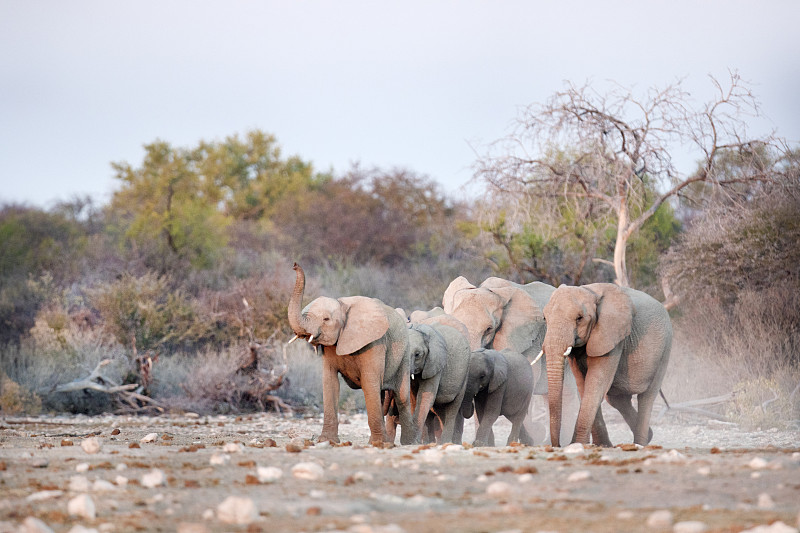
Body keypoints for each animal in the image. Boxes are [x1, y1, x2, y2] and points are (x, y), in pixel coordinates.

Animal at [288, 262, 416, 444]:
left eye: (326, 319)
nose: (294, 265)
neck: (342, 305)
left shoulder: (375, 342)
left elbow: (369, 381)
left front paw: (379, 444)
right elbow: (330, 382)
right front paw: (327, 441)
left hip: (404, 353)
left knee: (401, 397)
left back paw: (409, 443)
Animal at [540, 280, 672, 446]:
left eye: (579, 318)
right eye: (545, 318)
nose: (557, 445)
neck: (589, 291)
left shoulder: (612, 336)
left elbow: (595, 383)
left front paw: (578, 444)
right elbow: (583, 385)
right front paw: (598, 445)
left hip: (664, 349)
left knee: (646, 397)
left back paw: (640, 443)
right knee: (617, 399)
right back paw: (647, 436)